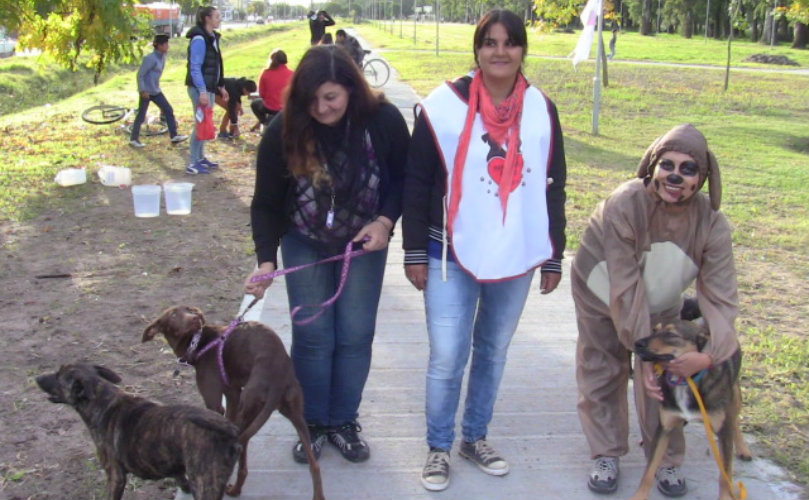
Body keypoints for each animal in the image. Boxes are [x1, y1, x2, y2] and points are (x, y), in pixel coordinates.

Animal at [36, 364, 241, 500]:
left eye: (58, 377)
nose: (37, 378)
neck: (103, 400)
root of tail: (229, 430)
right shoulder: (172, 463)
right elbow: (180, 477)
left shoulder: (115, 476)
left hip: (206, 485)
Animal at [144, 304, 324, 500]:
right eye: (174, 315)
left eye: (190, 310)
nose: (195, 319)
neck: (198, 343)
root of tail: (277, 380)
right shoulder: (233, 395)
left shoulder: (215, 402)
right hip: (294, 413)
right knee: (314, 466)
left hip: (250, 411)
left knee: (242, 459)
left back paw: (234, 489)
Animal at [632, 320, 752, 500]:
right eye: (654, 330)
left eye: (671, 334)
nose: (637, 343)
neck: (686, 380)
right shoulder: (665, 426)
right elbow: (649, 470)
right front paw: (638, 496)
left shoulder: (724, 431)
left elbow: (725, 475)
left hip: (734, 395)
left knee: (735, 420)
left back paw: (743, 449)